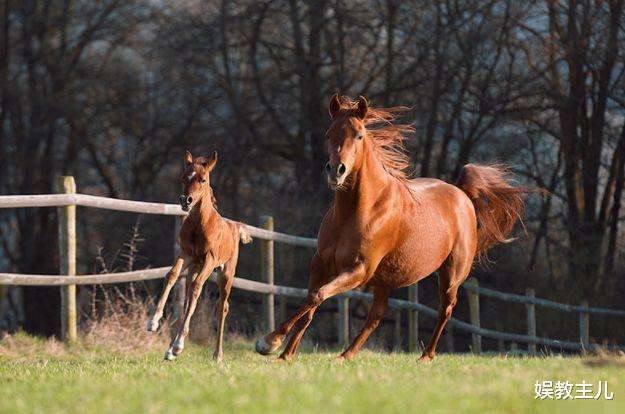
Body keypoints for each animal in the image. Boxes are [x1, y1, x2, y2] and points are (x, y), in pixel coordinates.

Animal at [147, 150, 251, 360]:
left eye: (203, 179)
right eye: (183, 178)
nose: (185, 201)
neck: (200, 225)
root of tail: (235, 226)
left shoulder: (209, 260)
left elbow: (197, 288)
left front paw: (179, 344)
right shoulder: (186, 254)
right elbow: (171, 275)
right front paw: (153, 322)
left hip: (225, 274)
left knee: (222, 307)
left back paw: (217, 354)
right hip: (195, 267)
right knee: (188, 300)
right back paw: (170, 350)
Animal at [255, 94, 528, 362]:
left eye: (359, 135)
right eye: (328, 133)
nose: (336, 171)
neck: (359, 210)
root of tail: (461, 193)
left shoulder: (359, 269)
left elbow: (317, 296)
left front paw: (269, 342)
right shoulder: (321, 263)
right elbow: (311, 302)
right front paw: (285, 355)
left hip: (451, 273)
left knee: (445, 309)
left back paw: (424, 357)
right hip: (386, 281)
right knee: (376, 317)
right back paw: (345, 356)